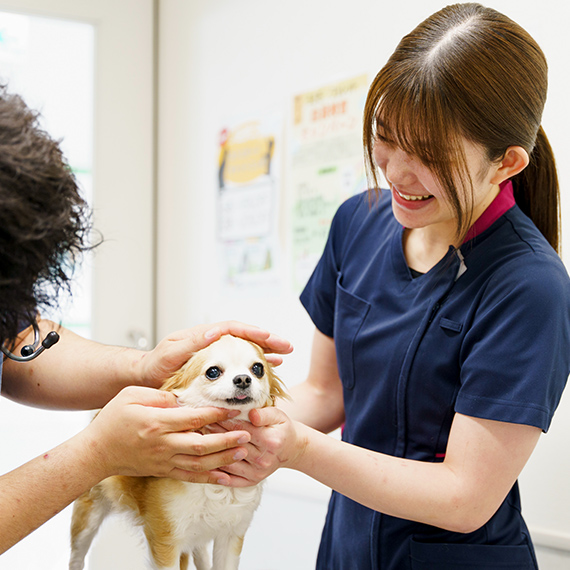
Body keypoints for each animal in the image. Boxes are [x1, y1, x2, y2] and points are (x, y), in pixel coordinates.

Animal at [68, 332, 286, 568]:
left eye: (257, 369)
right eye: (213, 372)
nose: (243, 379)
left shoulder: (231, 536)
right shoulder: (166, 540)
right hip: (88, 516)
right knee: (77, 556)